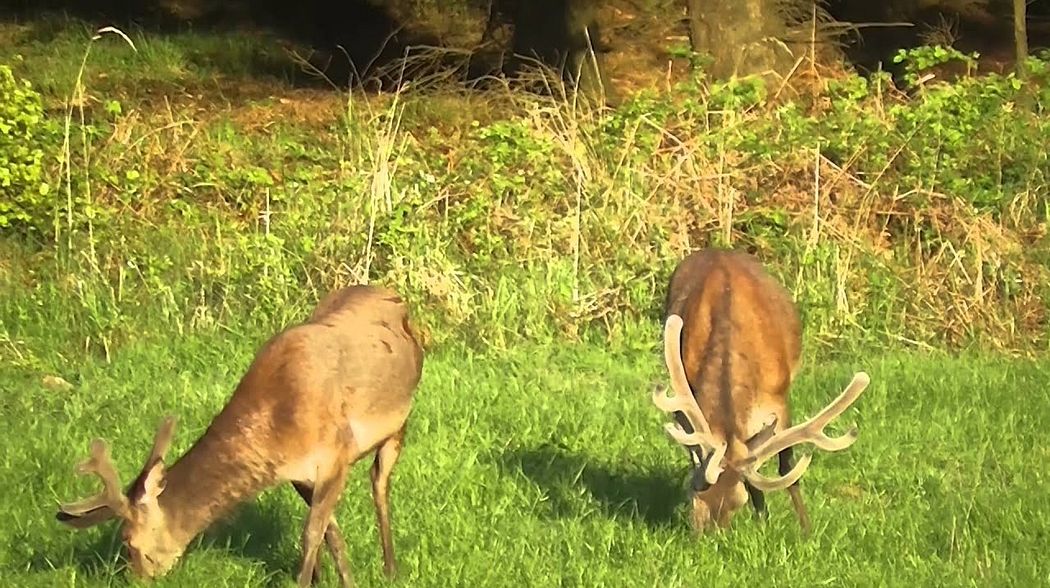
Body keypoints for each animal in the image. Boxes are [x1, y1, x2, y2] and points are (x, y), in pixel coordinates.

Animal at [55, 283, 424, 583]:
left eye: (128, 541)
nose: (137, 578)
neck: (278, 428)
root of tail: (392, 295)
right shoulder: (301, 475)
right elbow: (329, 533)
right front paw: (341, 580)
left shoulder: (336, 453)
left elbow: (310, 534)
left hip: (399, 420)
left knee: (379, 482)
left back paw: (391, 567)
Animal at [646, 247, 869, 533]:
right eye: (694, 492)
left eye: (737, 502)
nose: (707, 535)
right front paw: (763, 519)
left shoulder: (779, 398)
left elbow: (786, 466)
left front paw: (804, 528)